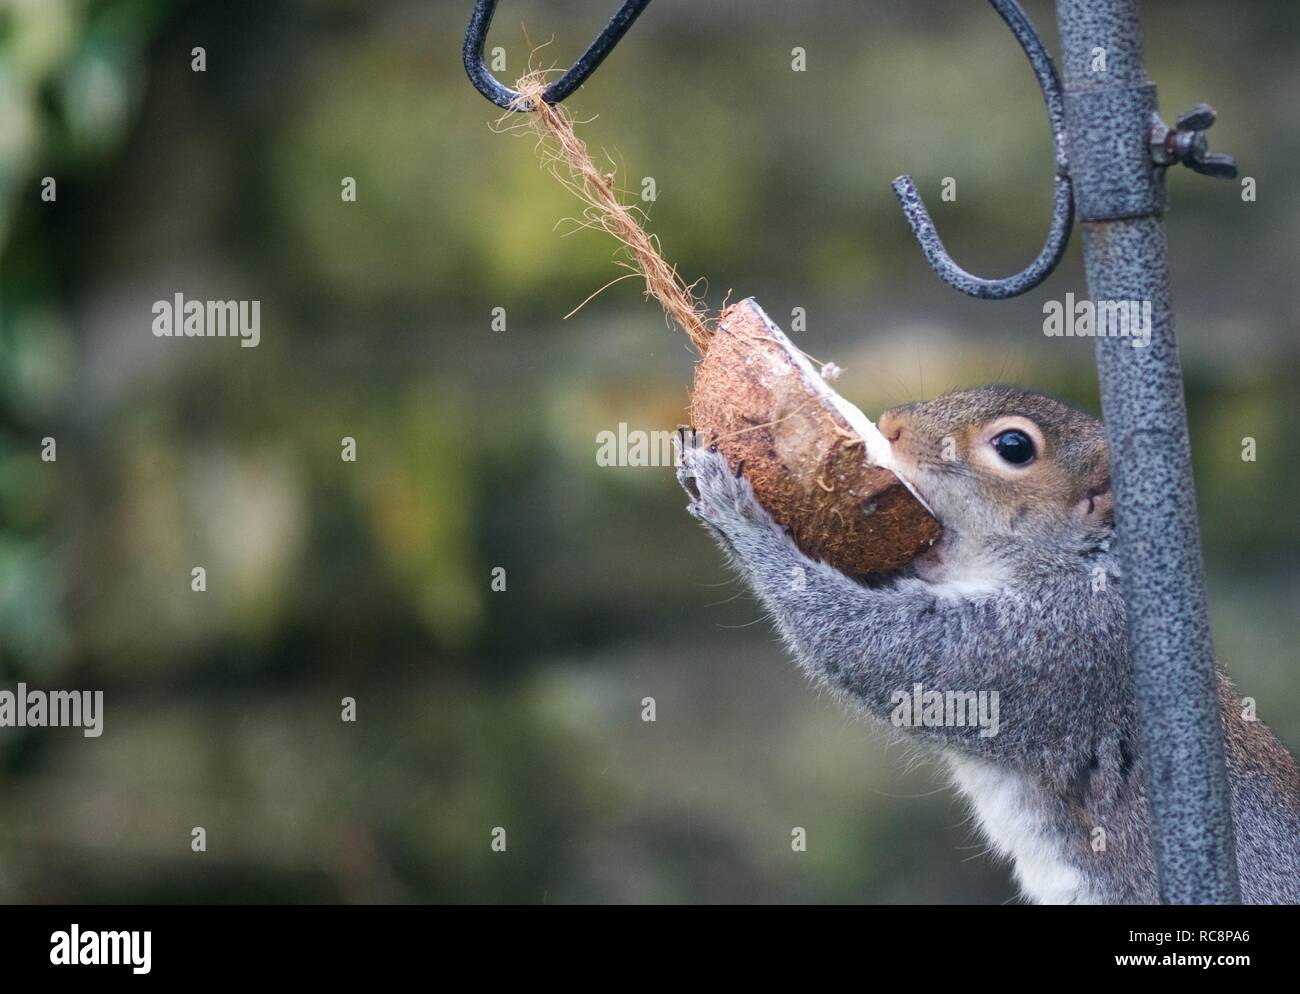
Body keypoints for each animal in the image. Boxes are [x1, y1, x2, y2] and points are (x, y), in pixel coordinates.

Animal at [676, 384, 1300, 904]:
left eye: (1014, 446)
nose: (891, 425)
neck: (1081, 563)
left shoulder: (1049, 647)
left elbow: (879, 652)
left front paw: (740, 516)